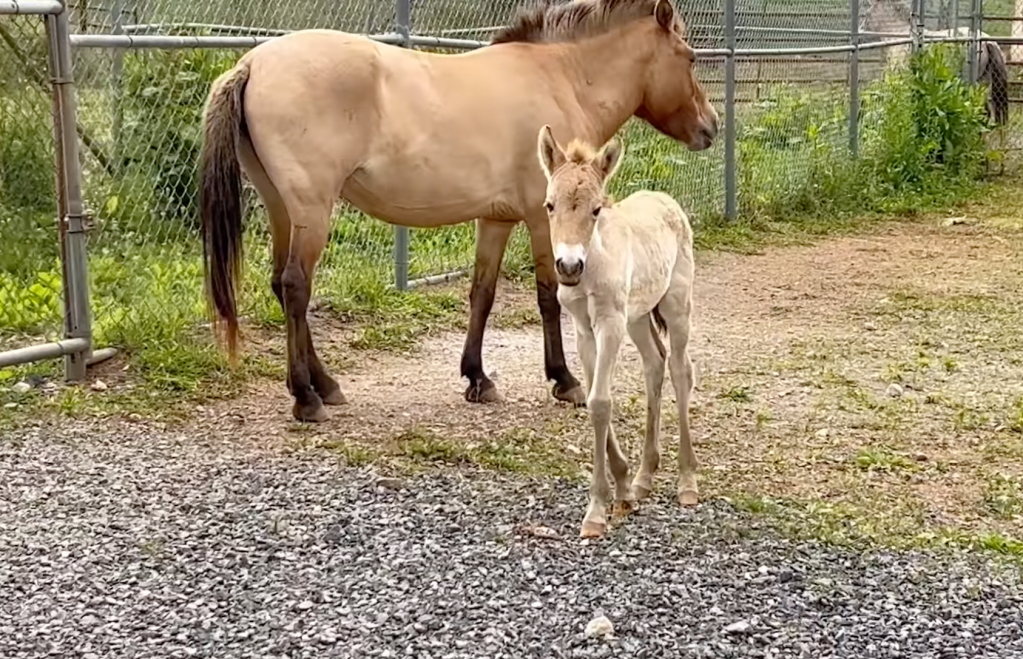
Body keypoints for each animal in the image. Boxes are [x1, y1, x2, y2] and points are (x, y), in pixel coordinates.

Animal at [195, 0, 716, 421]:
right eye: (690, 57)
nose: (710, 127)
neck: (563, 77)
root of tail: (253, 62)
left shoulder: (496, 219)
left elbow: (481, 294)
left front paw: (477, 378)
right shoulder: (541, 219)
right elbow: (548, 296)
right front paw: (563, 380)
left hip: (282, 209)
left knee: (280, 287)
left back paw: (326, 385)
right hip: (312, 211)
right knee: (295, 287)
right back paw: (307, 397)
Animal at [536, 124, 695, 540]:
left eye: (596, 209)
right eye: (549, 205)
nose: (568, 266)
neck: (593, 266)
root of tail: (666, 199)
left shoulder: (609, 323)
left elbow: (600, 403)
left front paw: (595, 511)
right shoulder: (583, 329)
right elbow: (594, 396)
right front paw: (623, 489)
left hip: (676, 305)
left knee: (680, 371)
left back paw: (688, 481)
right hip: (637, 318)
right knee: (655, 364)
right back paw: (644, 477)